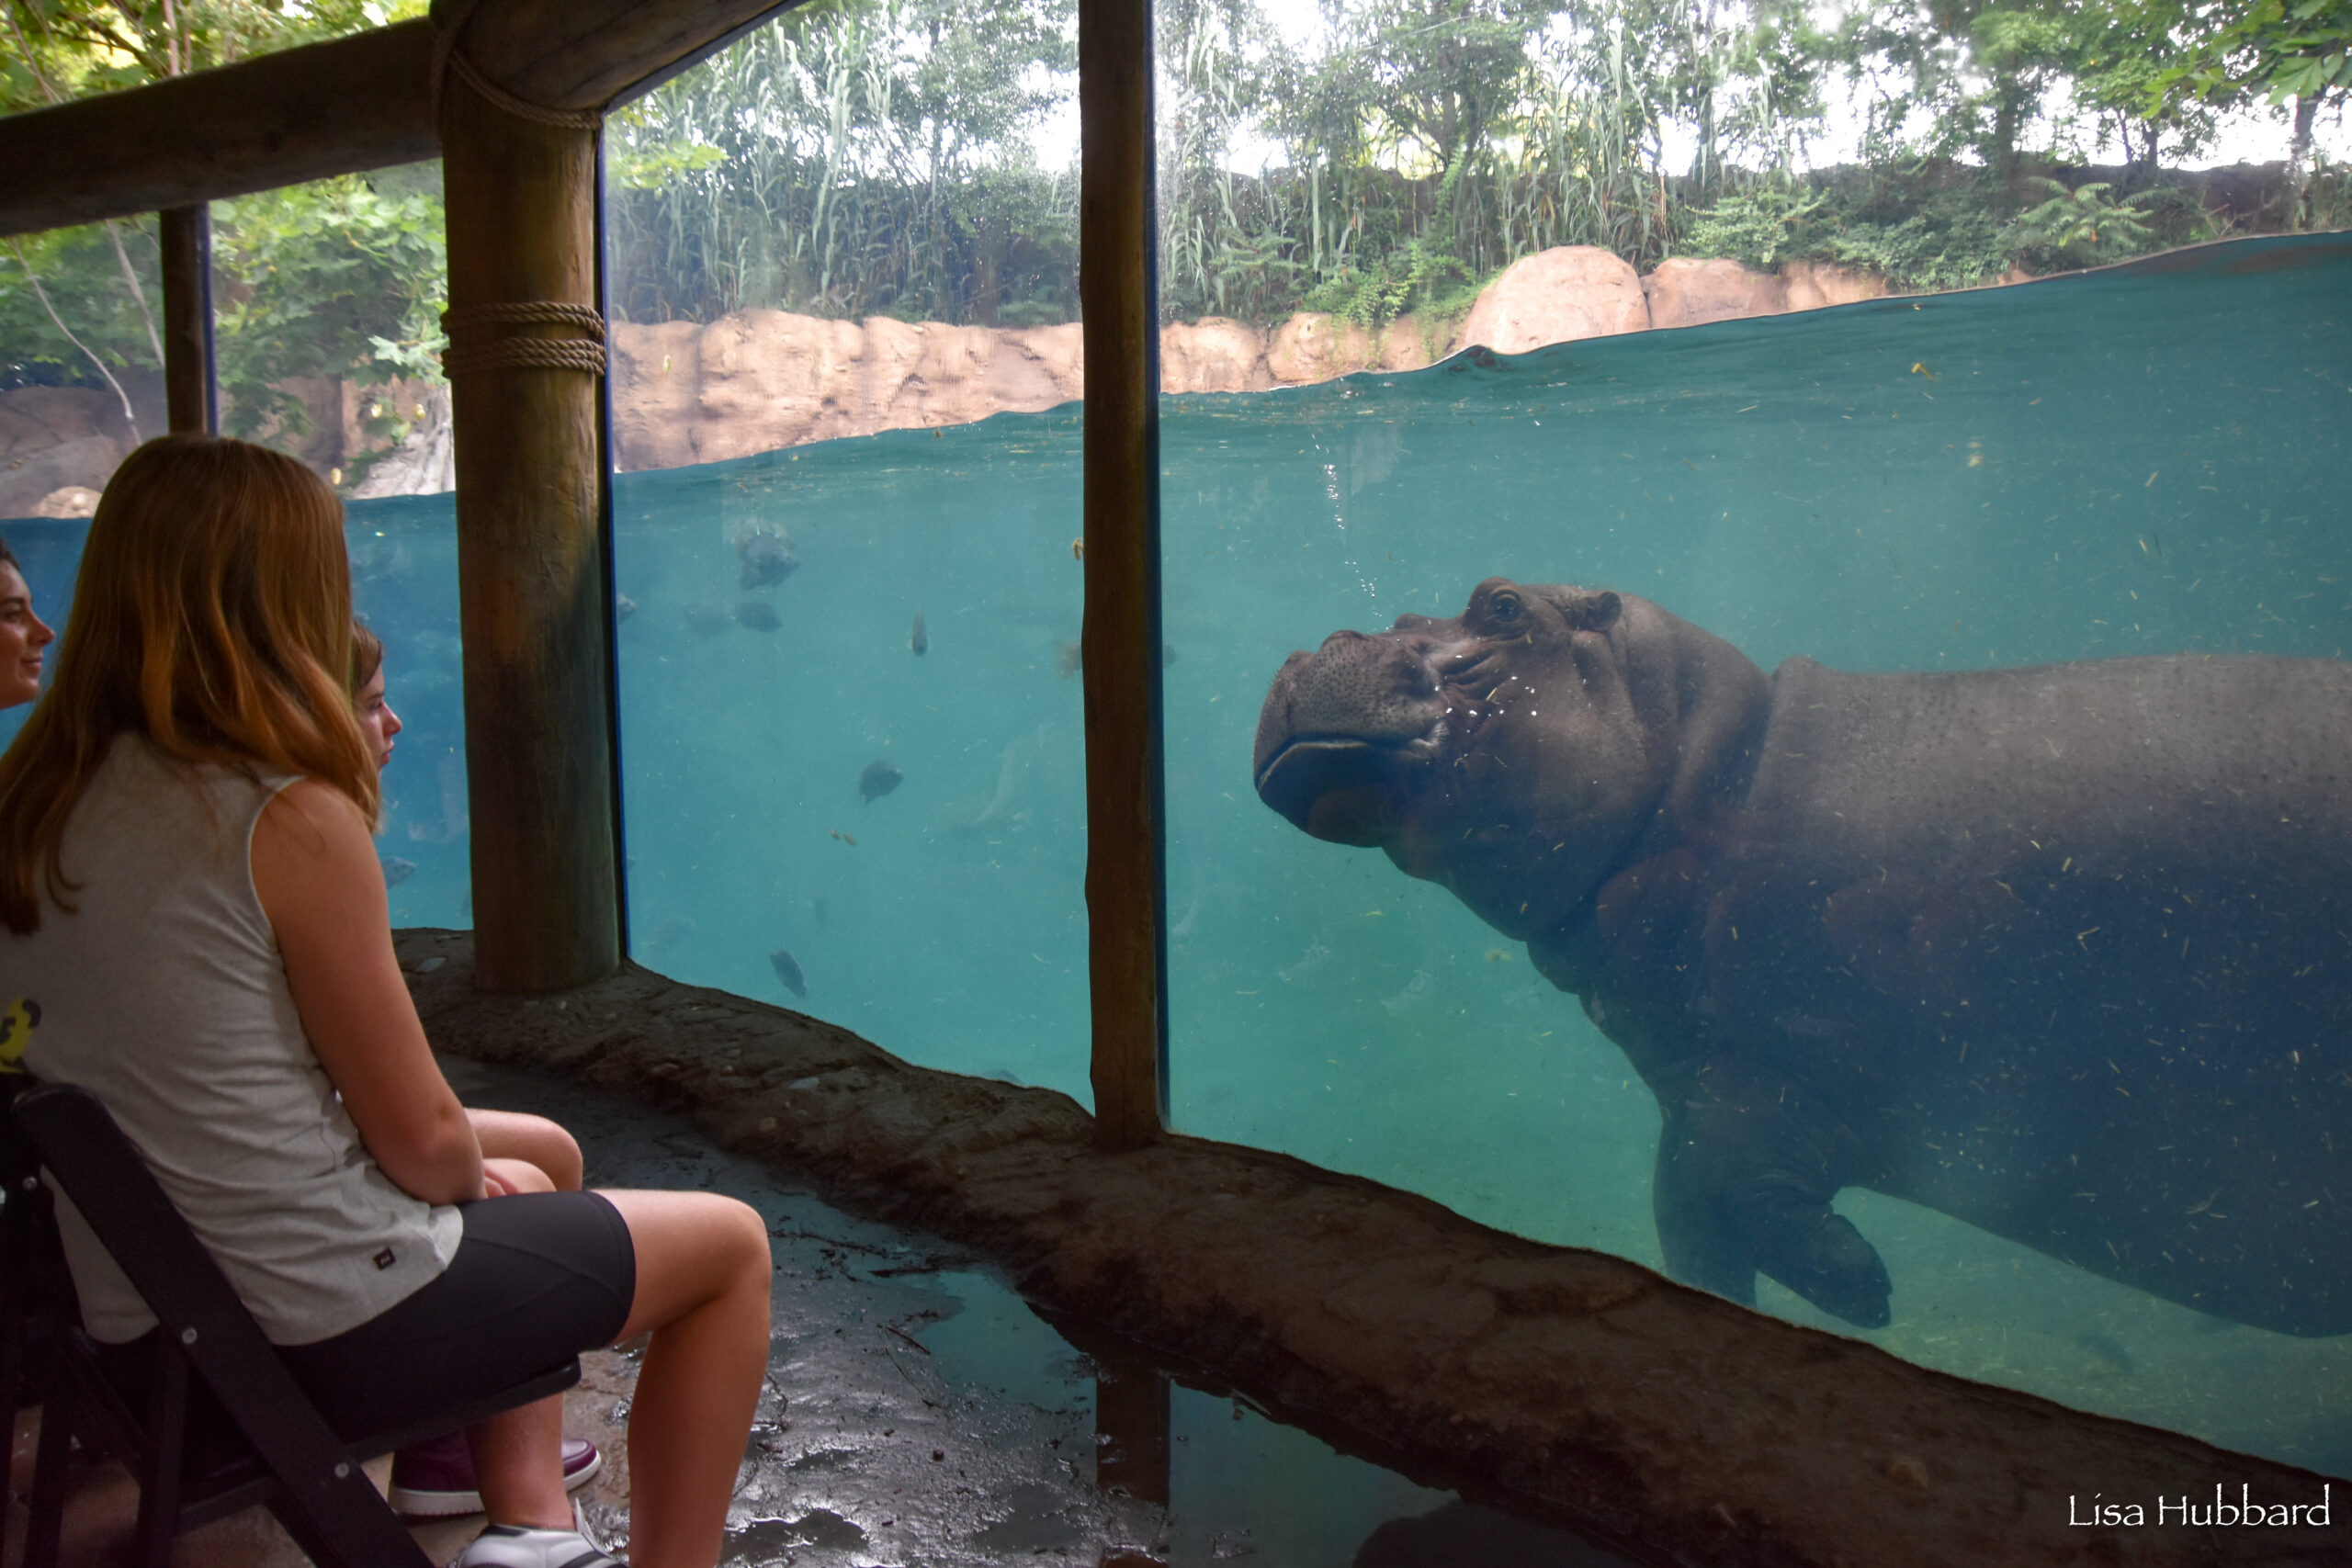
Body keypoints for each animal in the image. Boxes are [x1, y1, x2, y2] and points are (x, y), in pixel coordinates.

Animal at [1253, 578, 2352, 1335]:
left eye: (1505, 604)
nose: (1324, 643)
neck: (1709, 772)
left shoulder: (1768, 1075)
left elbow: (1732, 1189)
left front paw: (1860, 1293)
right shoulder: (1706, 1084)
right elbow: (1689, 1213)